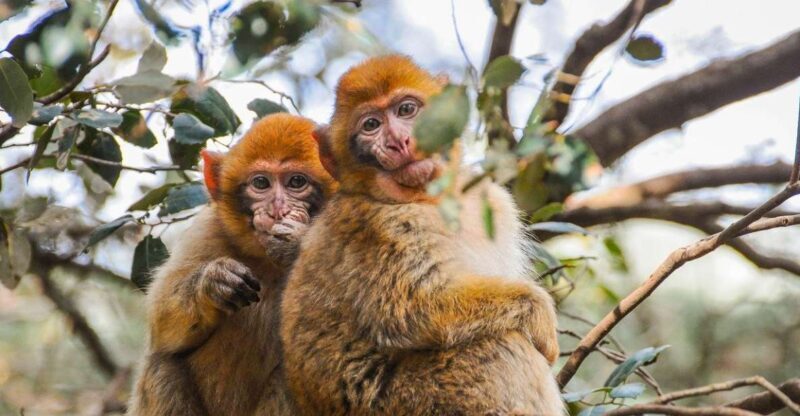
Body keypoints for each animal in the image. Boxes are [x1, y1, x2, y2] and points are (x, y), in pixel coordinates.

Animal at [128, 113, 337, 416]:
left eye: (296, 182)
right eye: (261, 183)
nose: (277, 210)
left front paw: (296, 242)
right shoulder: (209, 229)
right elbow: (162, 327)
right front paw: (212, 284)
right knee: (163, 362)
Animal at [281, 55, 563, 416]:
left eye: (406, 110)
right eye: (371, 125)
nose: (399, 141)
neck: (433, 199)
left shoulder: (495, 204)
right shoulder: (381, 227)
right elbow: (415, 308)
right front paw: (540, 313)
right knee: (499, 345)